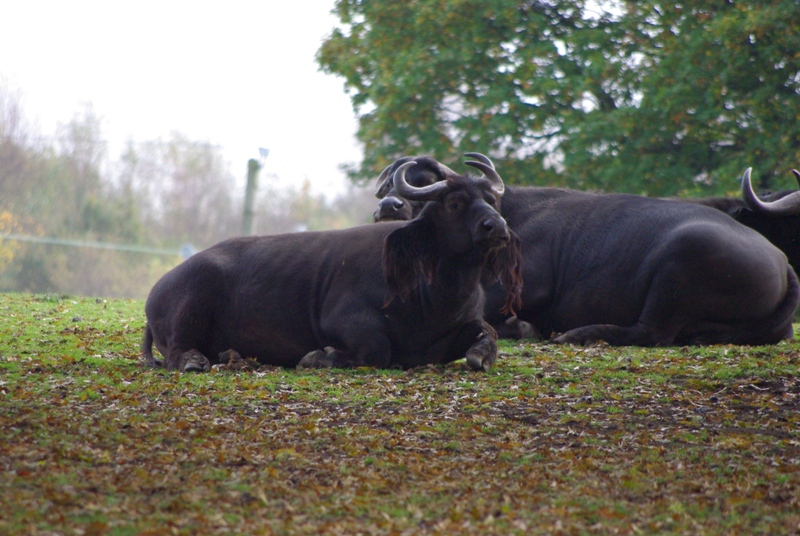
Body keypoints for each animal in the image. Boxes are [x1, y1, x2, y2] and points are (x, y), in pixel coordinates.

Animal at [142, 159, 522, 372]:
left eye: (491, 201)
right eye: (455, 203)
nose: (498, 227)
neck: (437, 291)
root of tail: (157, 290)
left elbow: (487, 334)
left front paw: (480, 355)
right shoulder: (346, 320)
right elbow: (376, 349)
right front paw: (318, 358)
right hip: (193, 300)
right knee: (176, 351)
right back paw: (195, 361)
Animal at [373, 154, 800, 346]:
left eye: (427, 187)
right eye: (389, 185)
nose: (387, 207)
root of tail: (782, 263)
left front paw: (524, 327)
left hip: (678, 265)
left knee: (651, 331)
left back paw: (573, 333)